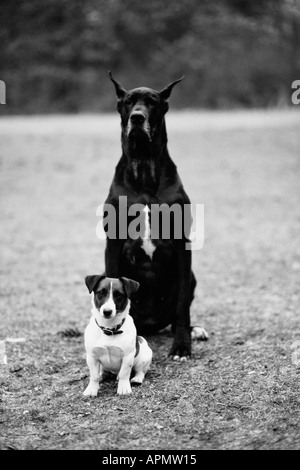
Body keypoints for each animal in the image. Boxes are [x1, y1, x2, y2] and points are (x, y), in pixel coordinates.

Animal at [103, 72, 197, 360]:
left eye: (152, 102)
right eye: (128, 102)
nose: (137, 117)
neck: (144, 164)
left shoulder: (182, 243)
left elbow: (182, 304)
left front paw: (182, 345)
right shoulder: (112, 242)